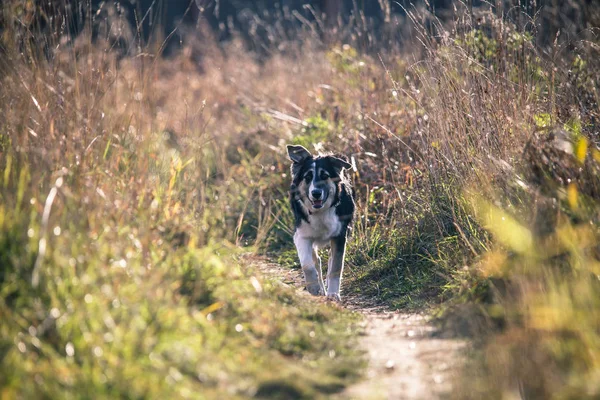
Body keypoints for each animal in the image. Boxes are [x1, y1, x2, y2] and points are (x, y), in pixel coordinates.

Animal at [288, 144, 354, 300]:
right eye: (308, 177)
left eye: (325, 176)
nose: (316, 193)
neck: (320, 211)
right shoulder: (301, 235)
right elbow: (307, 264)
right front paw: (313, 287)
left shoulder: (339, 236)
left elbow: (336, 267)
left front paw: (333, 294)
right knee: (316, 260)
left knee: (330, 260)